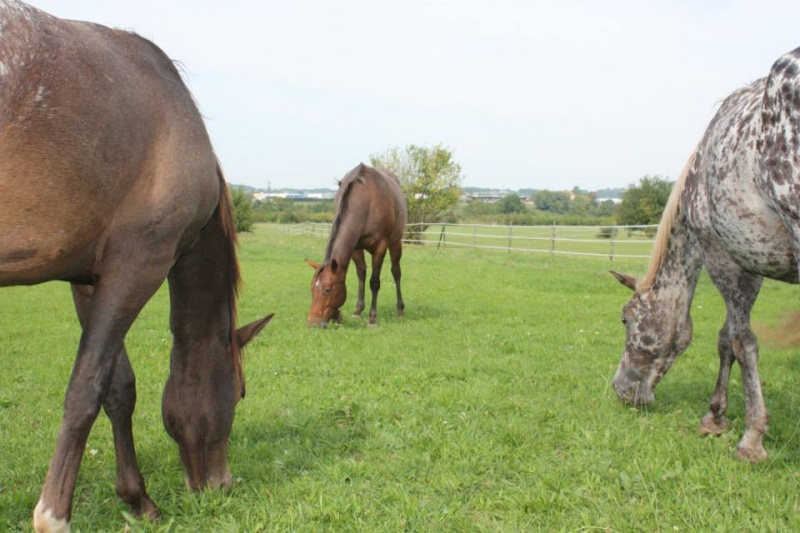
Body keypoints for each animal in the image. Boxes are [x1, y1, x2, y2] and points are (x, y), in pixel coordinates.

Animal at [0, 2, 274, 528]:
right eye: (240, 393)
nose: (222, 484)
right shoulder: (139, 265)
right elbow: (85, 389)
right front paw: (53, 514)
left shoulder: (89, 278)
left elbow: (118, 389)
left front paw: (137, 498)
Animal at [306, 164, 406, 326]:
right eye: (311, 288)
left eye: (327, 290)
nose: (312, 322)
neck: (367, 202)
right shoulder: (355, 247)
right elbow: (361, 274)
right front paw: (355, 311)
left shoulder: (380, 247)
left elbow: (374, 282)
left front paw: (372, 318)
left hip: (396, 242)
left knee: (396, 272)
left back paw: (400, 310)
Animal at [608, 45, 800, 462]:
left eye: (626, 319)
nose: (621, 390)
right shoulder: (747, 262)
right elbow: (725, 337)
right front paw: (715, 416)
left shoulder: (724, 259)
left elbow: (741, 342)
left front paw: (751, 437)